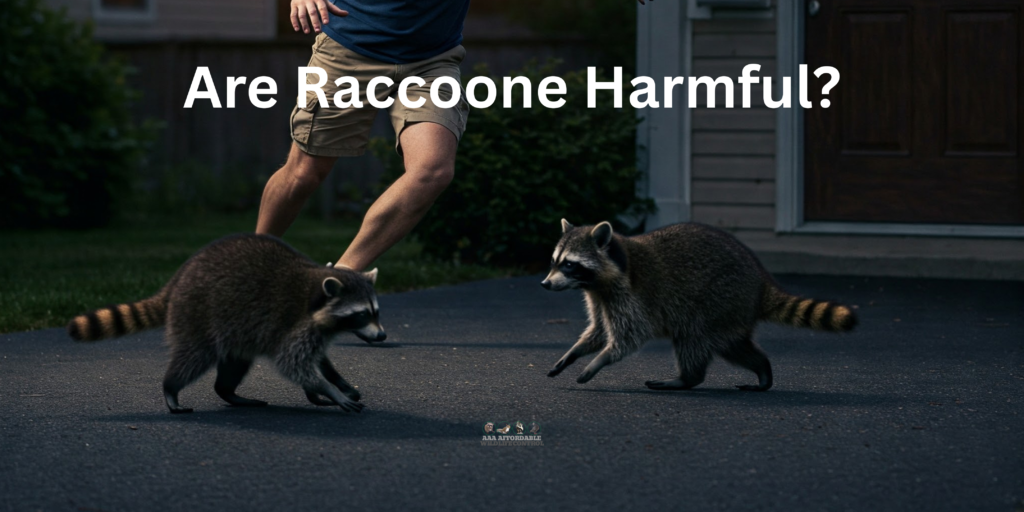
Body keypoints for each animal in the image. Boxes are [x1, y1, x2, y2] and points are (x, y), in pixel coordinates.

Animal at [67, 234, 385, 414]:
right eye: (361, 314)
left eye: (376, 312)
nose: (381, 336)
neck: (315, 292)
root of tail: (179, 278)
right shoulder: (293, 324)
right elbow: (294, 364)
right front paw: (327, 389)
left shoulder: (316, 330)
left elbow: (319, 361)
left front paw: (333, 383)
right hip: (198, 314)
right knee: (194, 357)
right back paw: (171, 387)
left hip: (236, 330)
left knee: (235, 363)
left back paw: (227, 391)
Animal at [542, 219, 857, 391]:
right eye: (554, 261)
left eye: (569, 264)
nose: (544, 284)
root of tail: (760, 282)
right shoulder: (600, 297)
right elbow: (597, 331)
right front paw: (574, 352)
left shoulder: (631, 297)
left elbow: (629, 337)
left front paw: (599, 360)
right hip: (730, 314)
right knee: (734, 345)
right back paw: (762, 368)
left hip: (717, 300)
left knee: (692, 338)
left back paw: (686, 378)